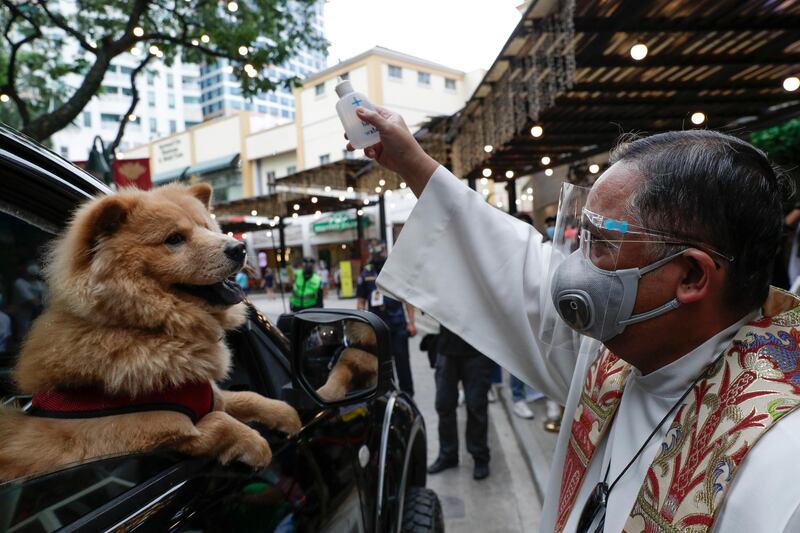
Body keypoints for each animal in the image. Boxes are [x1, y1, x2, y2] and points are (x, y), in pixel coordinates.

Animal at [0, 183, 300, 482]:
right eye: (175, 239)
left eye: (207, 227)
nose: (239, 247)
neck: (151, 328)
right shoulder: (140, 432)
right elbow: (220, 422)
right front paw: (257, 445)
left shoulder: (213, 396)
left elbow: (247, 397)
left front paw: (287, 415)